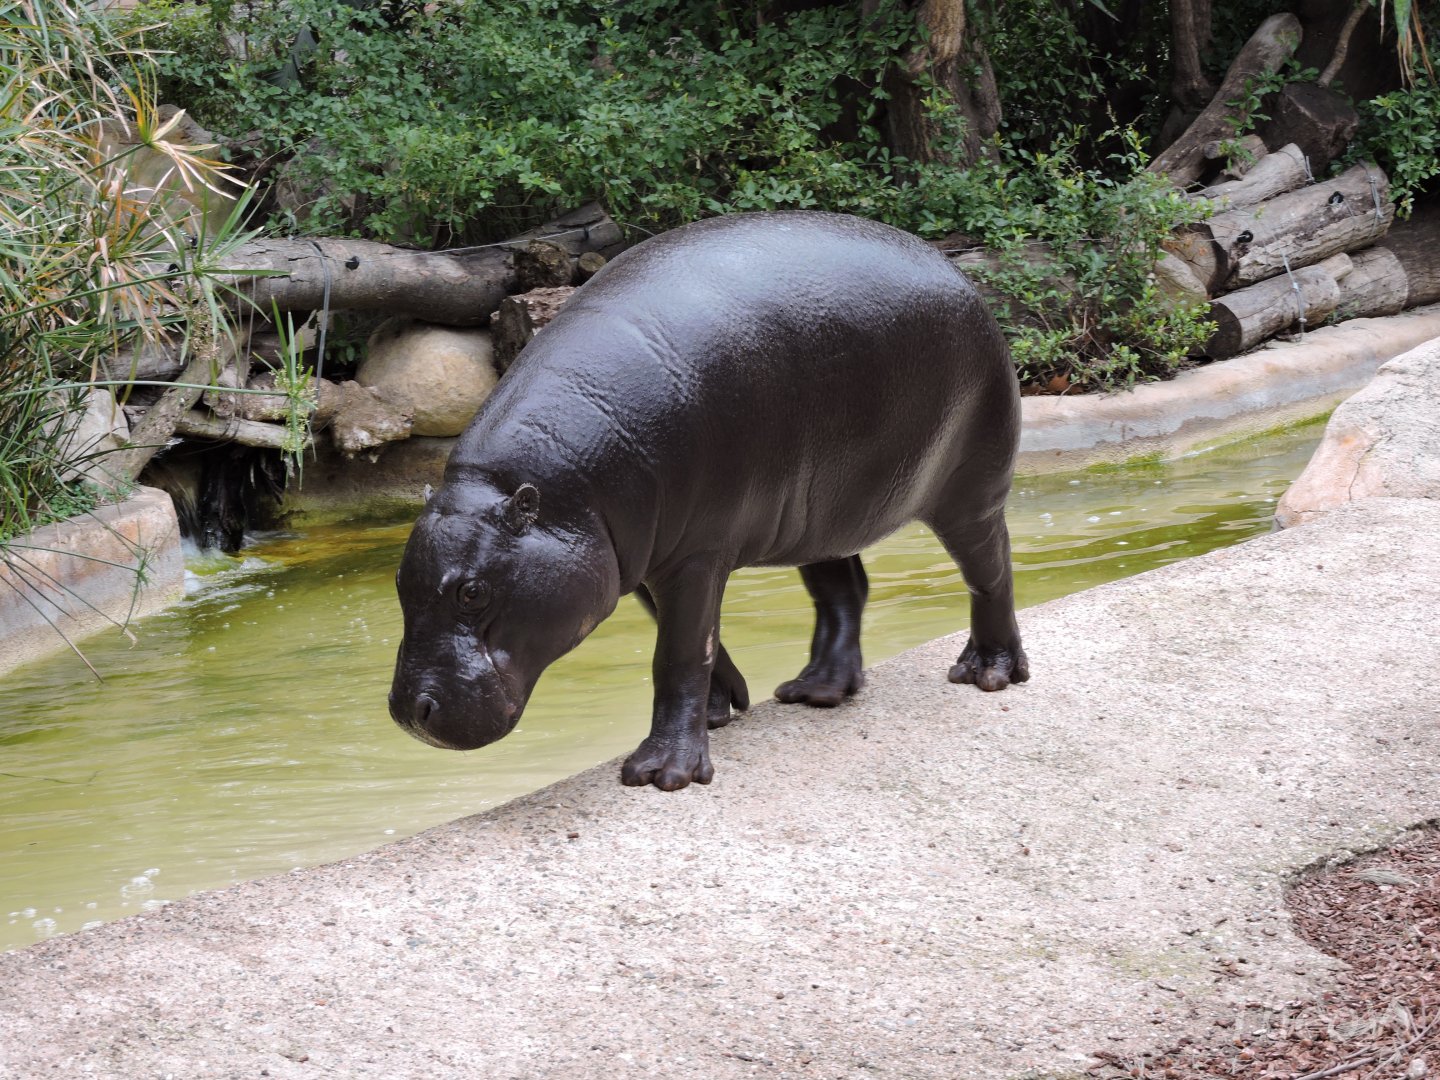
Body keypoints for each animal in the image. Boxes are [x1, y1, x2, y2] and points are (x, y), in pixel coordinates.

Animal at [389, 211, 1028, 790]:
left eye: (473, 592)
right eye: (399, 581)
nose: (407, 714)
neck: (549, 491)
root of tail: (955, 271)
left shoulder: (695, 554)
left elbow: (678, 654)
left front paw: (662, 775)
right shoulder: (641, 556)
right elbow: (694, 641)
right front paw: (723, 710)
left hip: (969, 489)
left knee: (991, 570)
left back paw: (988, 673)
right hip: (819, 513)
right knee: (844, 591)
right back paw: (816, 690)